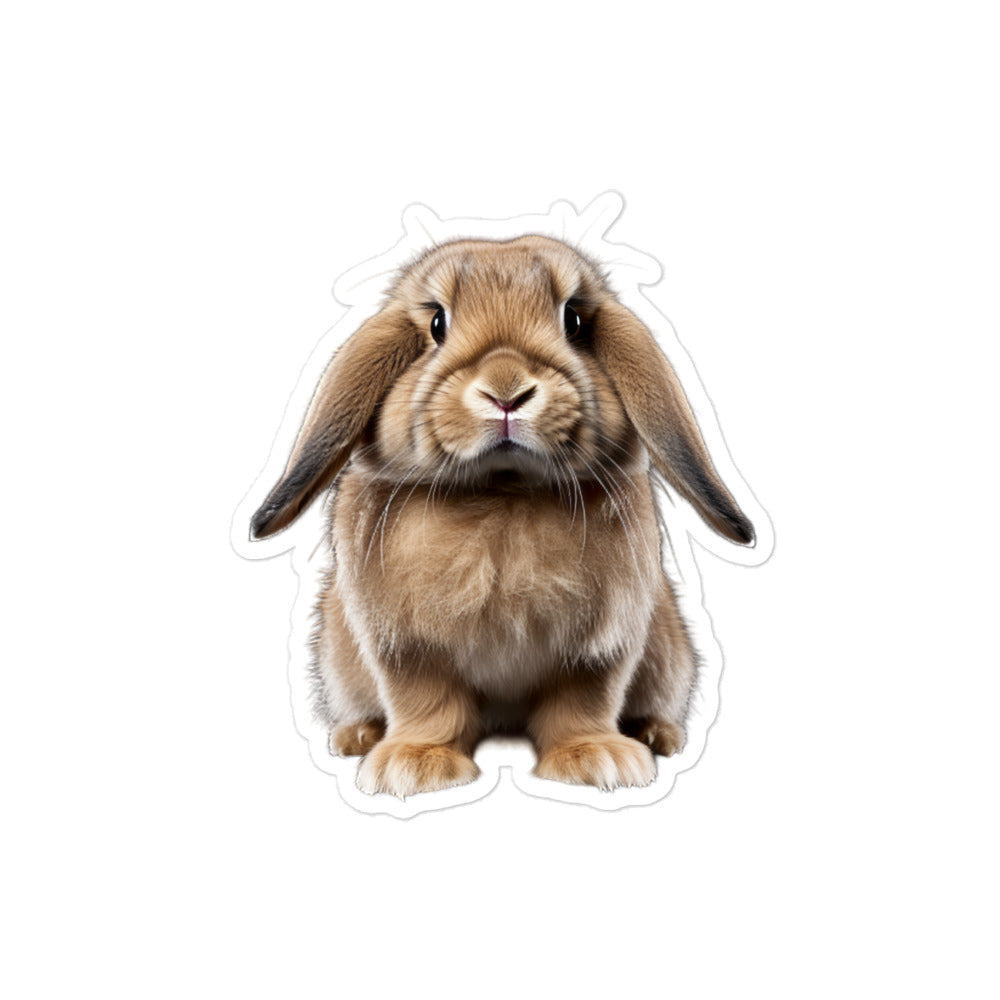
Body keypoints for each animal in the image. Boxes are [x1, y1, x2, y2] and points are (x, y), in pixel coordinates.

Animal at [250, 235, 754, 798]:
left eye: (573, 320)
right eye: (437, 323)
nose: (507, 391)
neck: (501, 494)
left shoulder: (601, 642)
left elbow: (585, 698)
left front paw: (598, 759)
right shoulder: (403, 645)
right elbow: (424, 699)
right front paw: (414, 766)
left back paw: (655, 734)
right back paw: (357, 736)